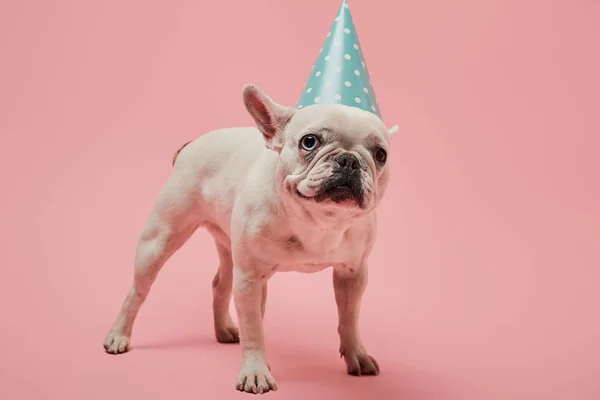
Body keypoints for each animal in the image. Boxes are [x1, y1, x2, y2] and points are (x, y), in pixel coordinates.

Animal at [103, 84, 398, 394]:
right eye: (309, 142)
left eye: (380, 154)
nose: (349, 159)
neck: (318, 220)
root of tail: (191, 144)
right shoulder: (250, 280)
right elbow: (254, 328)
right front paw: (256, 372)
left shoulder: (353, 274)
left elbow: (349, 319)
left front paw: (357, 355)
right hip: (159, 240)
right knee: (137, 292)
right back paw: (118, 335)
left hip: (229, 249)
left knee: (220, 283)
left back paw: (224, 330)